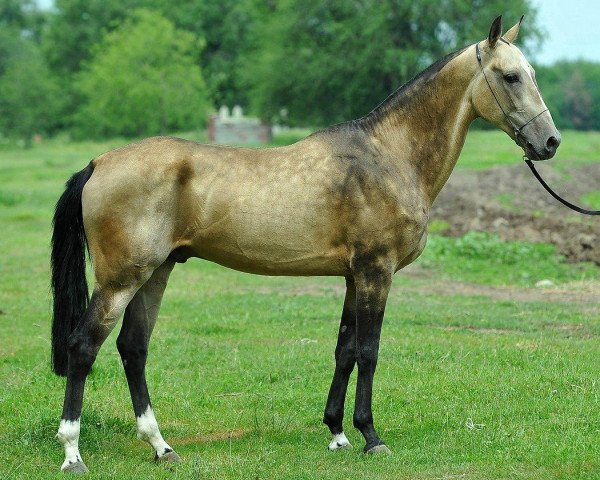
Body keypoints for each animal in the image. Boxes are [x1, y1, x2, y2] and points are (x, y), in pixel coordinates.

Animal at [50, 15, 556, 472]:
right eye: (510, 76)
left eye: (532, 73)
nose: (549, 142)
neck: (387, 156)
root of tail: (98, 163)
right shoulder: (376, 272)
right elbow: (369, 351)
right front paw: (371, 437)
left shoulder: (354, 276)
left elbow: (345, 351)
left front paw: (338, 433)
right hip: (121, 281)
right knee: (83, 347)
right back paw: (73, 452)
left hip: (156, 273)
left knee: (133, 349)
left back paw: (161, 447)